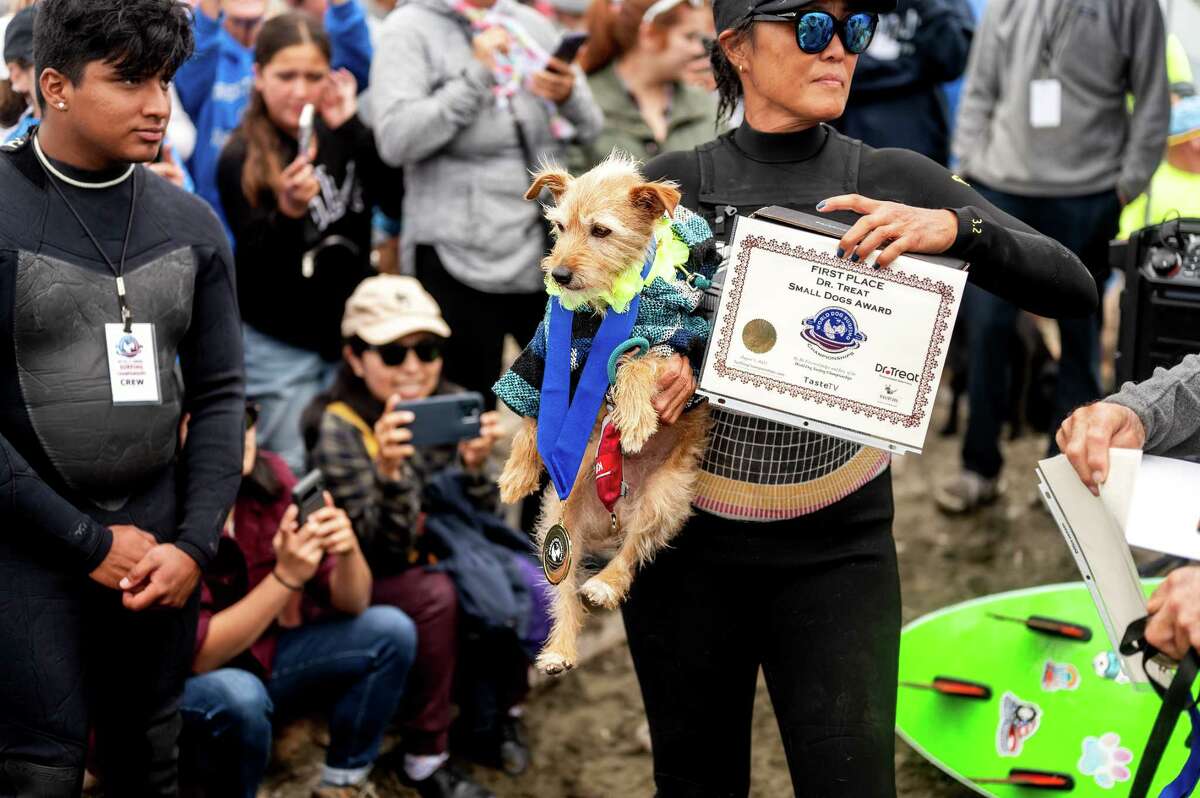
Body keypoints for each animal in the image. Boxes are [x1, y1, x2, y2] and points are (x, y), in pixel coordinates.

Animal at [496, 153, 710, 672]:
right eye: (558, 227)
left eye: (601, 230)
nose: (559, 275)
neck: (600, 309)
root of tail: (611, 519)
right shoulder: (541, 350)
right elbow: (531, 413)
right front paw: (517, 471)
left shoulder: (679, 338)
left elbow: (637, 363)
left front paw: (633, 420)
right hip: (558, 520)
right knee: (564, 589)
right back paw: (559, 649)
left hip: (663, 499)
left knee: (632, 553)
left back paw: (606, 584)